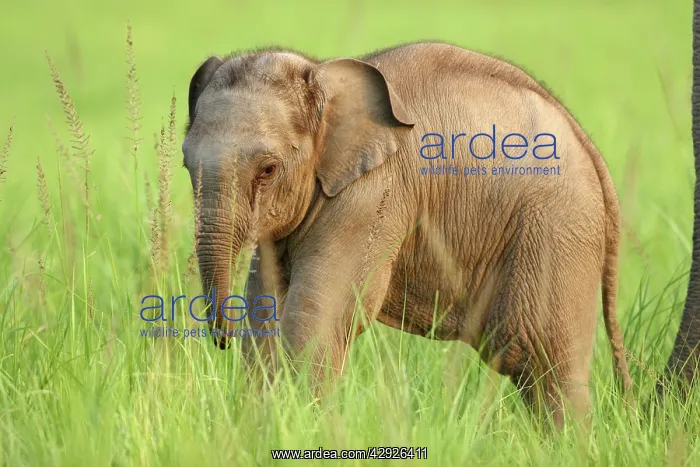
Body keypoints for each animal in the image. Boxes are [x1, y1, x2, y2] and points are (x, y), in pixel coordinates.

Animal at [182, 42, 634, 426]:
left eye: (268, 169)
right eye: (186, 164)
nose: (221, 338)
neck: (324, 74)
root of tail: (588, 146)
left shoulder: (373, 194)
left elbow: (314, 315)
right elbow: (266, 310)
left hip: (557, 229)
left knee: (545, 363)